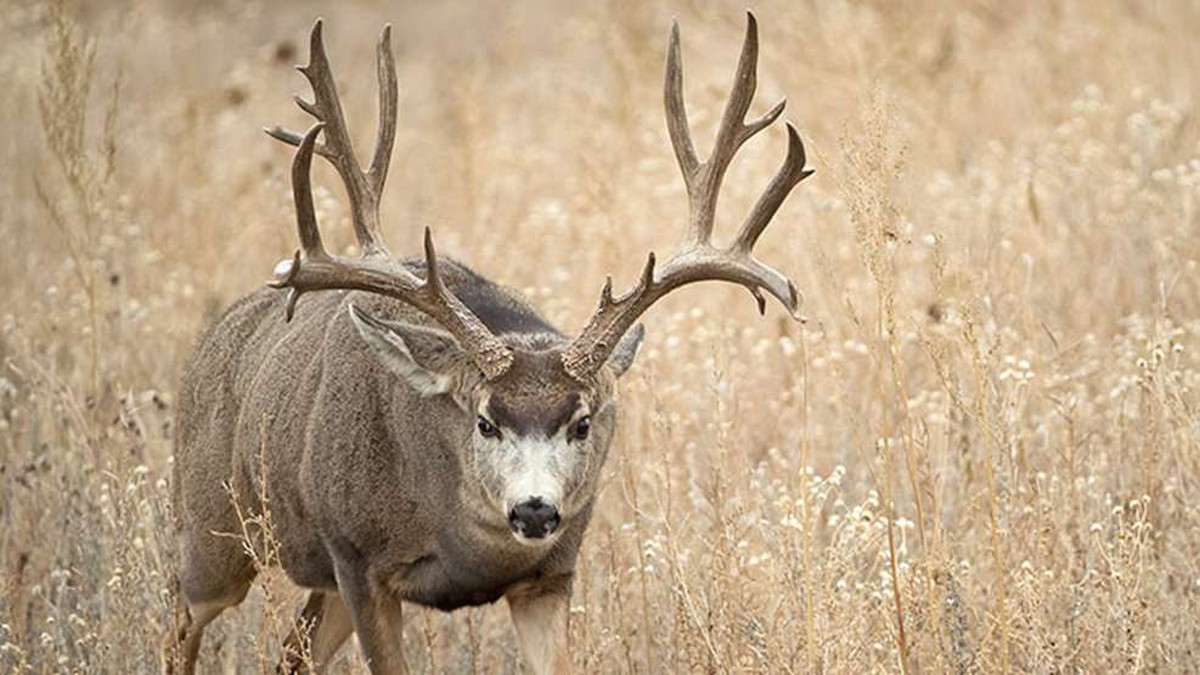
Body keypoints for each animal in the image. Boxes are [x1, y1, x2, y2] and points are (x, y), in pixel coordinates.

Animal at [165, 11, 811, 675]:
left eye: (582, 422)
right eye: (484, 421)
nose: (534, 508)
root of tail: (212, 340)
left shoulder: (551, 576)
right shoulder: (358, 561)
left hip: (315, 583)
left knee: (292, 652)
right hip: (213, 527)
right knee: (179, 617)